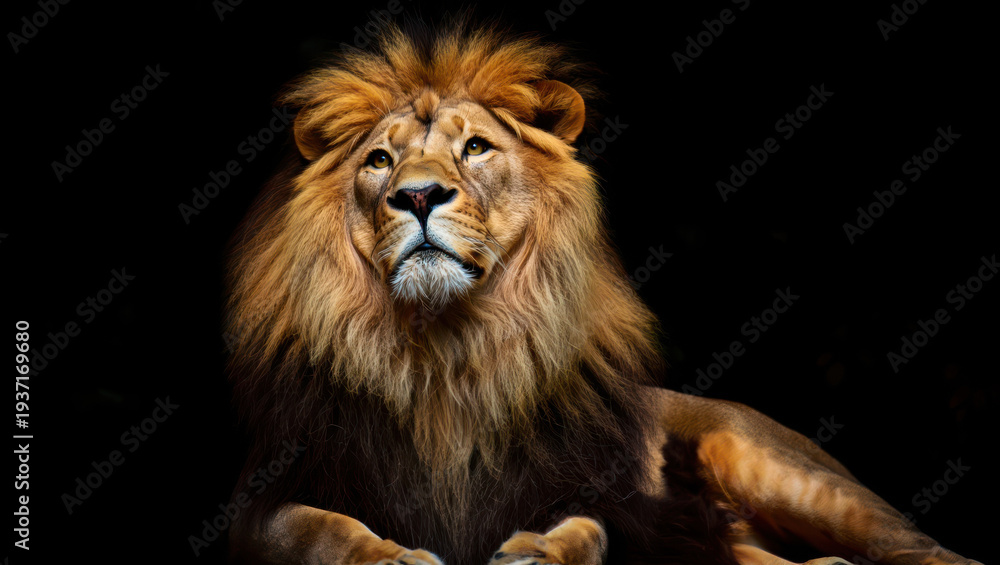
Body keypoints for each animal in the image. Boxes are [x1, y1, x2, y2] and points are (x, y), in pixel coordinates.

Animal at [224, 21, 980, 565]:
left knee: (928, 551)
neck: (449, 354)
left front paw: (538, 552)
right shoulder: (267, 498)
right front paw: (390, 556)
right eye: (380, 160)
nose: (416, 194)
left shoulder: (599, 493)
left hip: (768, 462)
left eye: (476, 148)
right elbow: (316, 530)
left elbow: (592, 525)